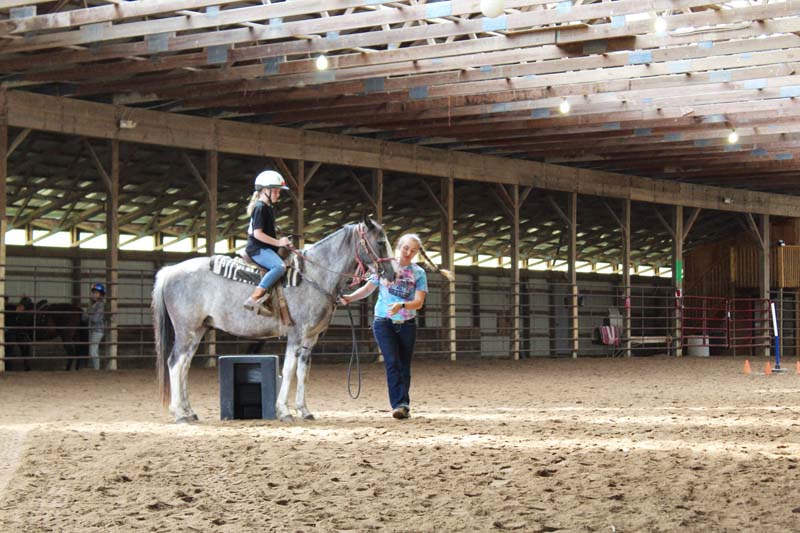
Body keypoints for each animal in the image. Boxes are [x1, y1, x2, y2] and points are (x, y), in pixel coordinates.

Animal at [152, 216, 396, 424]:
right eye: (380, 241)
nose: (392, 274)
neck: (312, 276)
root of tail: (170, 271)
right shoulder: (296, 334)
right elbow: (288, 370)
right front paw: (284, 411)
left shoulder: (311, 338)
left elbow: (303, 372)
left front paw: (304, 410)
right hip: (186, 330)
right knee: (175, 364)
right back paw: (179, 414)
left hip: (198, 331)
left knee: (184, 366)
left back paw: (189, 411)